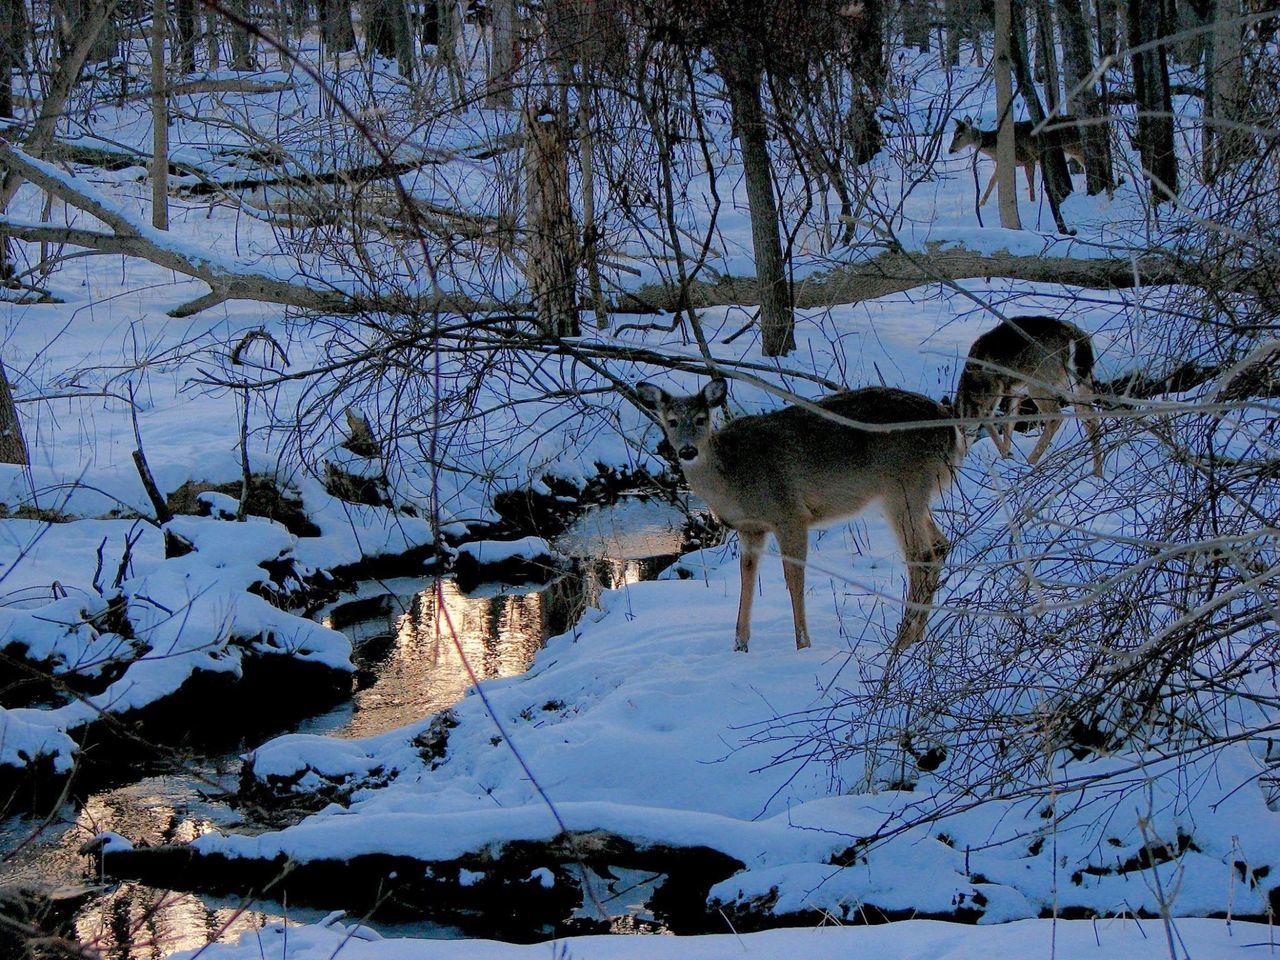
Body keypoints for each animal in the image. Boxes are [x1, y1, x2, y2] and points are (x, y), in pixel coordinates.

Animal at [634, 378, 957, 660]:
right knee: (940, 545)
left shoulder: (791, 514)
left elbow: (793, 577)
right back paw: (917, 637)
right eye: (671, 421)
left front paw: (803, 644)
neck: (734, 478)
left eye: (702, 418)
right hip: (913, 496)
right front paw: (739, 645)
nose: (688, 450)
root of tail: (952, 429)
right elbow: (746, 576)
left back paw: (901, 641)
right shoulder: (751, 528)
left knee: (921, 556)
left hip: (902, 488)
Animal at [947, 115, 1085, 207]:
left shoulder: (1028, 157)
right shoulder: (1002, 163)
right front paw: (980, 205)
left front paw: (1032, 202)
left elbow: (1030, 183)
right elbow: (991, 182)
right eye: (954, 134)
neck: (996, 148)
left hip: (1078, 148)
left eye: (959, 135)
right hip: (1077, 153)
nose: (950, 150)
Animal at [957, 316, 1105, 478]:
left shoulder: (993, 387)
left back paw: (1031, 463)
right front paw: (1007, 457)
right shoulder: (1015, 392)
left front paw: (1007, 455)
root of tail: (1075, 337)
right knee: (1091, 418)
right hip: (1078, 383)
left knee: (1056, 417)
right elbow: (1009, 422)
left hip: (1039, 381)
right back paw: (1098, 473)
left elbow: (987, 419)